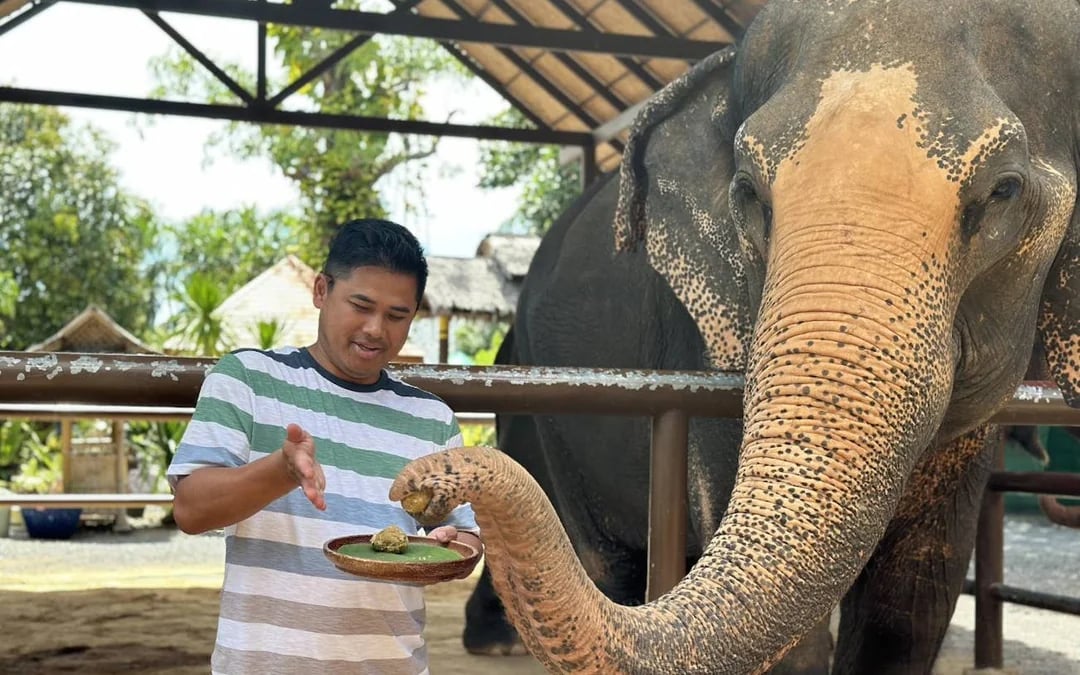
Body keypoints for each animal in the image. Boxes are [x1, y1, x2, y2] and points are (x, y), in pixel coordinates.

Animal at [393, 1, 1080, 673]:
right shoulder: (704, 345)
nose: (417, 486)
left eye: (1005, 190)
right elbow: (796, 646)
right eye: (748, 192)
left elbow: (912, 605)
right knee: (607, 561)